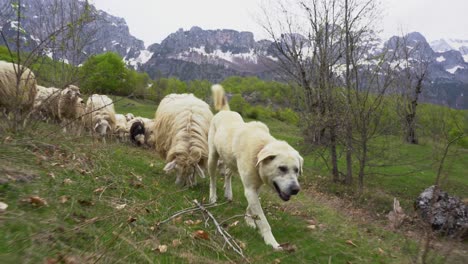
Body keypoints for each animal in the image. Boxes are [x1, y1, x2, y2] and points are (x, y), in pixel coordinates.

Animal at [208, 96, 304, 251]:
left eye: (296, 170)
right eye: (282, 168)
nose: (296, 189)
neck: (259, 150)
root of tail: (225, 111)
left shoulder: (255, 188)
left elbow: (252, 208)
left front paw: (249, 221)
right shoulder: (250, 189)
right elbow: (263, 220)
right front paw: (272, 242)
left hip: (231, 161)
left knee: (228, 174)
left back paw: (228, 193)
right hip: (213, 156)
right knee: (213, 178)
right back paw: (212, 197)